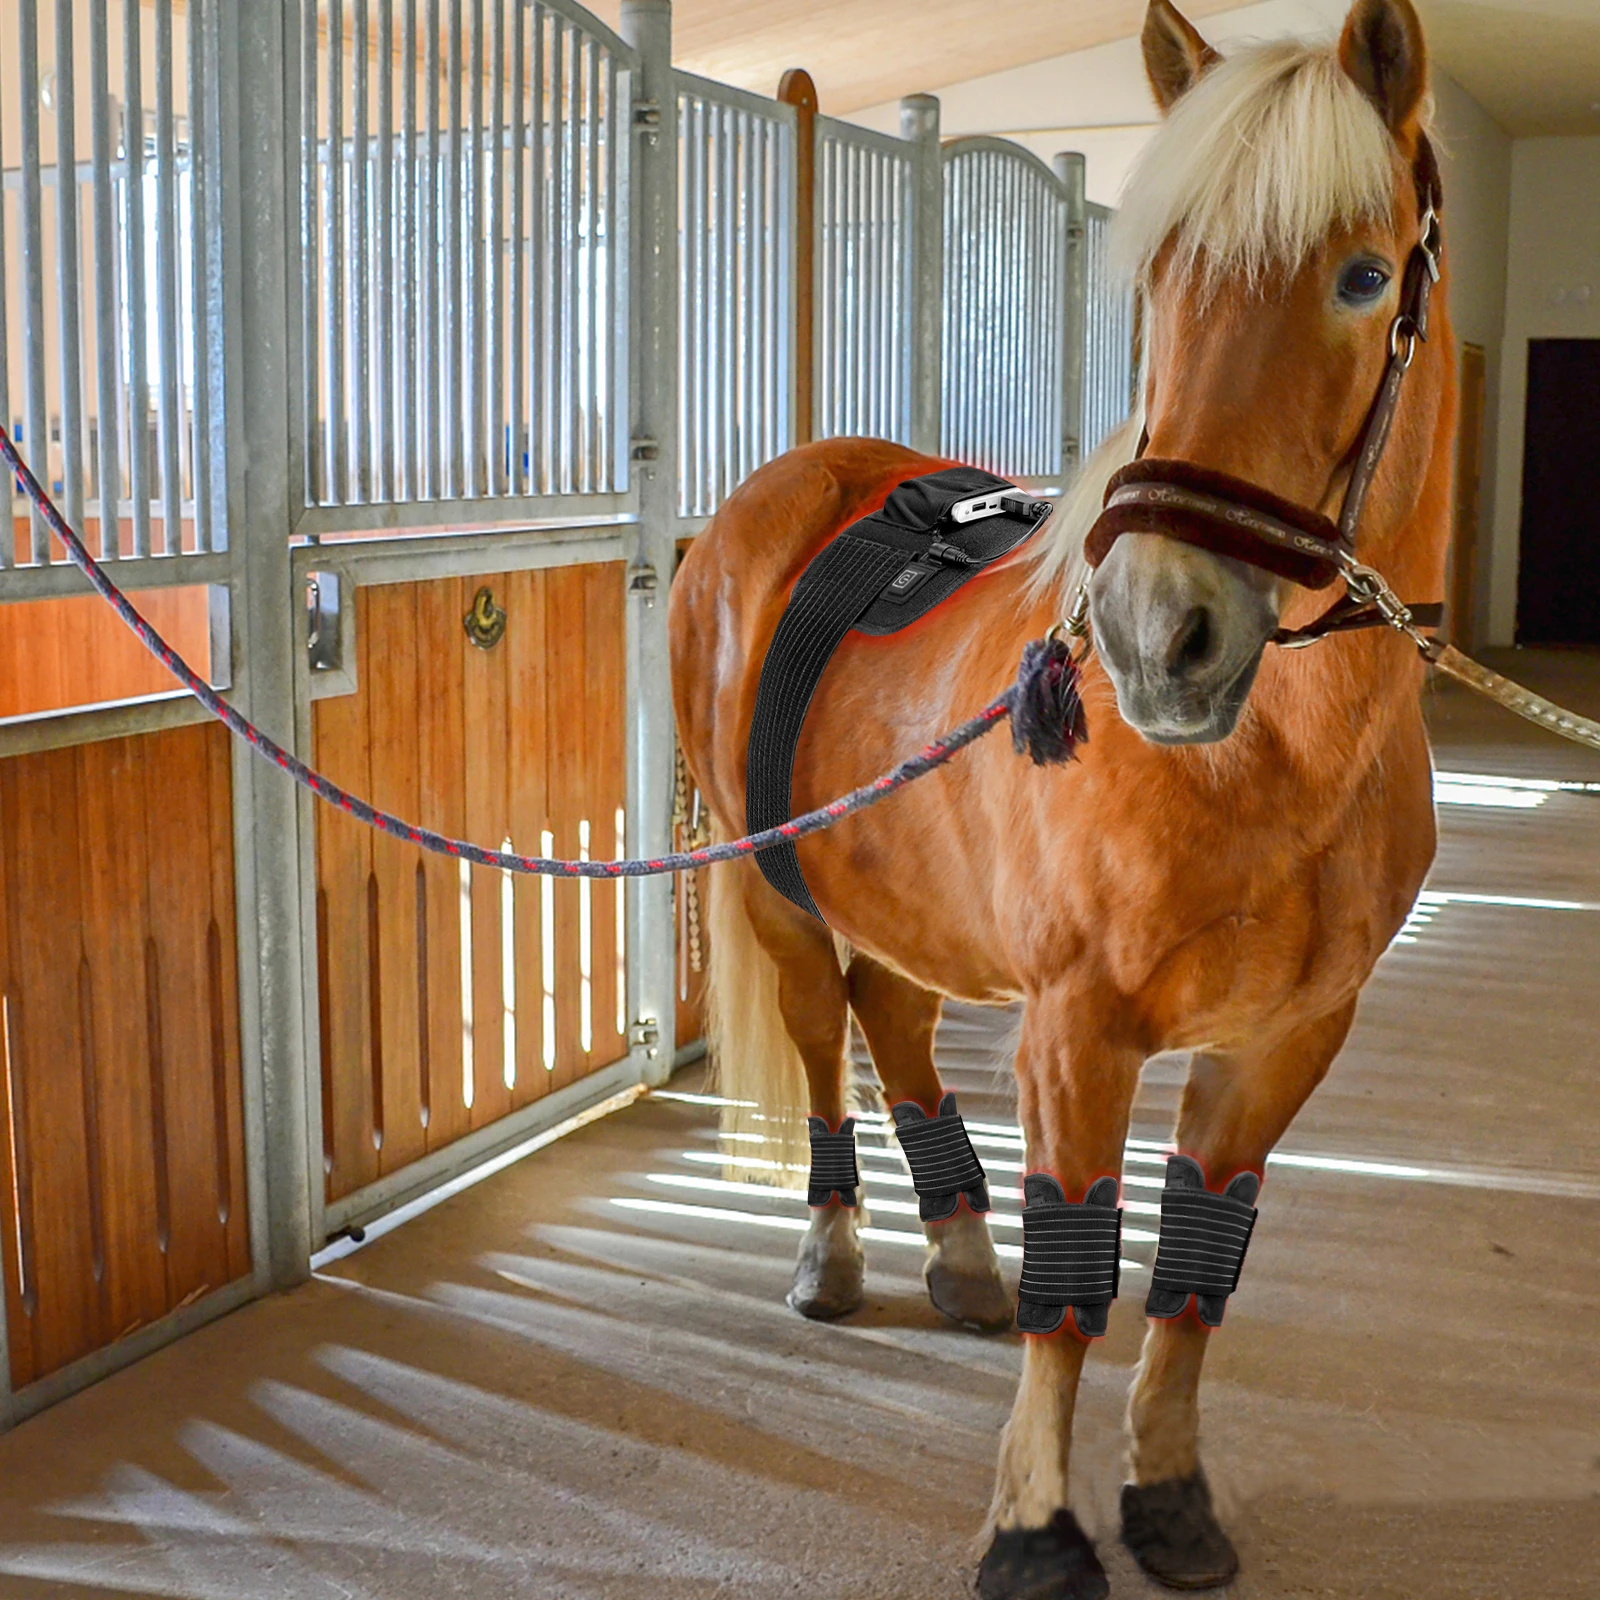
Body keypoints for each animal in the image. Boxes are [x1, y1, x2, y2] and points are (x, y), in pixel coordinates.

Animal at [669, 0, 1455, 1592]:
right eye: (1154, 280)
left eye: (1362, 276)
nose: (1158, 635)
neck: (1272, 765)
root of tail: (771, 494)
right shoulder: (1078, 1034)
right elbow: (1078, 1278)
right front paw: (1035, 1526)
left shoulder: (1283, 1043)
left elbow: (1198, 1268)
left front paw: (1168, 1492)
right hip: (777, 890)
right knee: (825, 1038)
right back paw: (837, 1252)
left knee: (897, 1023)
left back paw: (960, 1253)